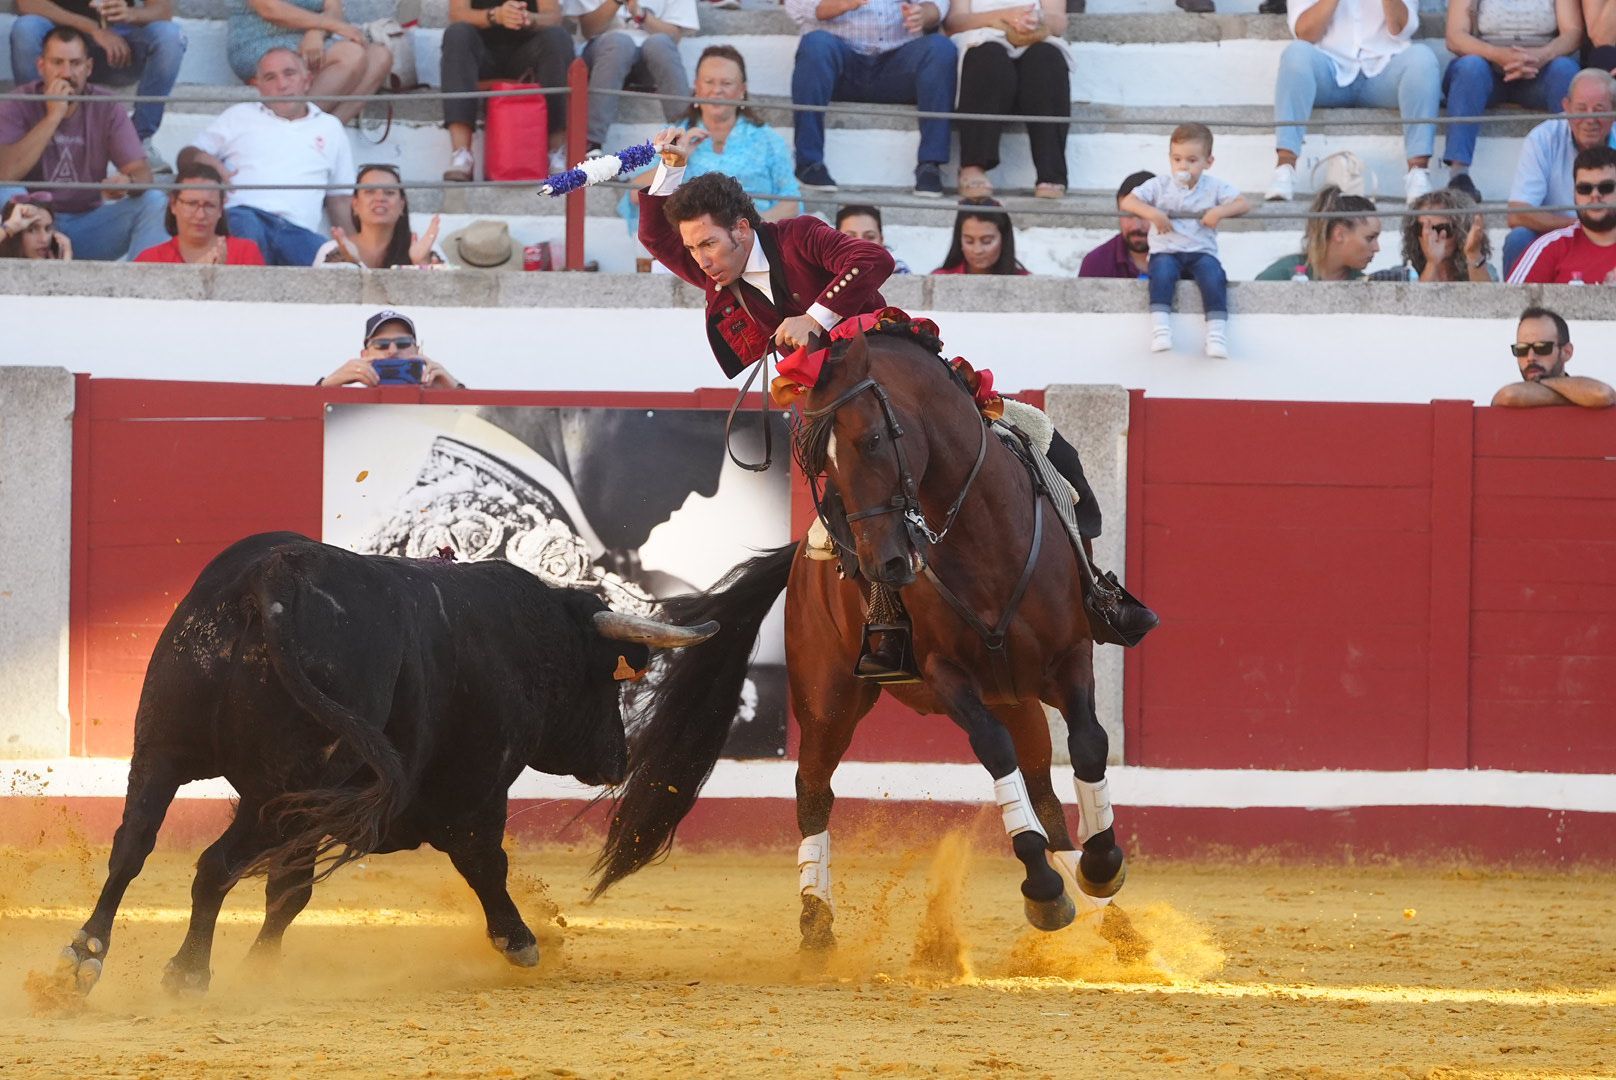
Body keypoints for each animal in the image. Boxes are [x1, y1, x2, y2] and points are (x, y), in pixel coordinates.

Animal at [56, 530, 714, 995]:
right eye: (610, 680)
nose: (619, 758)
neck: (527, 641)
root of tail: (276, 576)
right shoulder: (476, 794)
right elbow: (486, 864)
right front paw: (520, 941)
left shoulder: (312, 807)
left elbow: (288, 893)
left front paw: (261, 968)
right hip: (276, 792)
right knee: (215, 865)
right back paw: (188, 973)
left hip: (163, 749)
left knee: (132, 846)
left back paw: (83, 956)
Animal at [588, 324, 1131, 950]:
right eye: (820, 465)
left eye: (872, 440)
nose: (885, 564)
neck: (984, 539)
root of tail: (799, 557)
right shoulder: (947, 675)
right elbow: (995, 753)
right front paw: (1043, 888)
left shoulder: (1071, 657)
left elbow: (1089, 743)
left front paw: (1100, 868)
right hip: (830, 700)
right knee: (813, 788)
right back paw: (816, 921)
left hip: (1013, 693)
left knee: (1041, 777)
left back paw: (1102, 914)